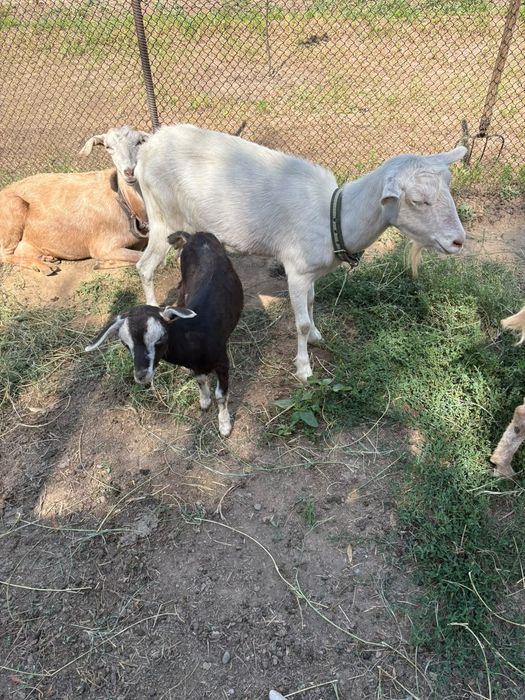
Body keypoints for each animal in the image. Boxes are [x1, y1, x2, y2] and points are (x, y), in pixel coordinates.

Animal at [0, 126, 148, 274]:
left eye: (139, 142)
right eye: (108, 146)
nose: (129, 172)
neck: (126, 203)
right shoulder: (104, 246)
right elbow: (142, 257)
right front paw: (103, 264)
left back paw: (48, 258)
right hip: (13, 210)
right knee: (5, 255)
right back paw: (44, 267)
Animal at [85, 231, 244, 437]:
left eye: (160, 338)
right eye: (125, 344)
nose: (141, 375)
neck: (194, 335)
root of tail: (195, 235)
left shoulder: (222, 362)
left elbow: (221, 395)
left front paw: (224, 426)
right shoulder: (196, 366)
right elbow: (200, 381)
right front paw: (204, 402)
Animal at [133, 124, 467, 381]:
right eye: (418, 200)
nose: (458, 241)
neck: (333, 216)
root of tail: (148, 149)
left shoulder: (311, 273)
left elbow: (311, 302)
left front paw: (318, 335)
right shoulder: (295, 269)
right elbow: (301, 322)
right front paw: (304, 369)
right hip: (163, 215)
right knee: (145, 266)